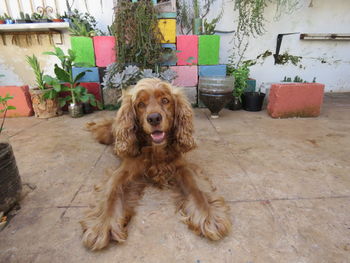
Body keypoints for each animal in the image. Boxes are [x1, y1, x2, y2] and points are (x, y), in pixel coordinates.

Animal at [80, 78, 231, 252]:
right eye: (140, 104)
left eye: (165, 100)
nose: (154, 118)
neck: (156, 149)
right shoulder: (125, 170)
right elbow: (112, 192)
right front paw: (103, 224)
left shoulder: (182, 166)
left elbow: (196, 189)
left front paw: (208, 214)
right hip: (106, 135)